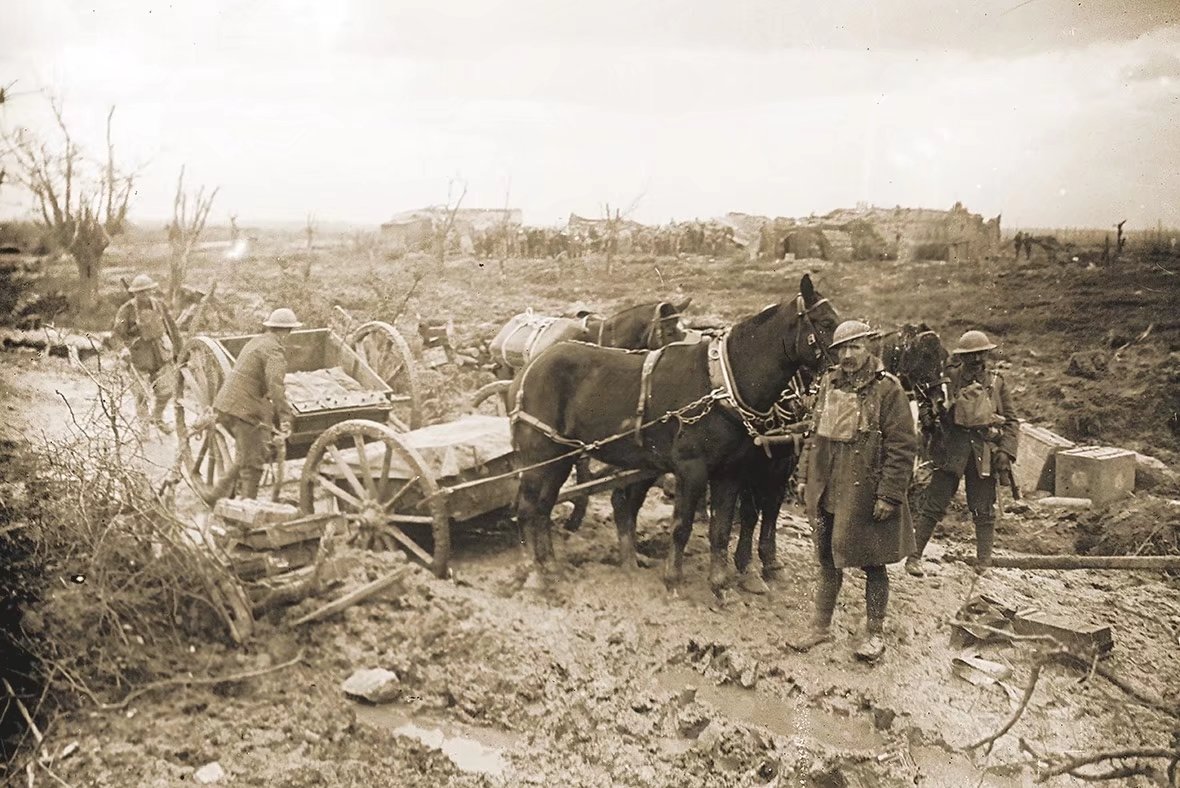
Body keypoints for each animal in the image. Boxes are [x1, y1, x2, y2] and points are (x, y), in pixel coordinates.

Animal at [512, 276, 835, 589]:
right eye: (825, 322)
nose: (843, 365)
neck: (721, 385)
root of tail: (530, 368)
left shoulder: (731, 471)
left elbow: (722, 528)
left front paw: (721, 584)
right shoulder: (692, 469)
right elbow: (682, 525)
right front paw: (674, 579)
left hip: (563, 456)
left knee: (546, 506)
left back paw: (552, 565)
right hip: (540, 458)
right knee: (528, 507)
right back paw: (534, 572)